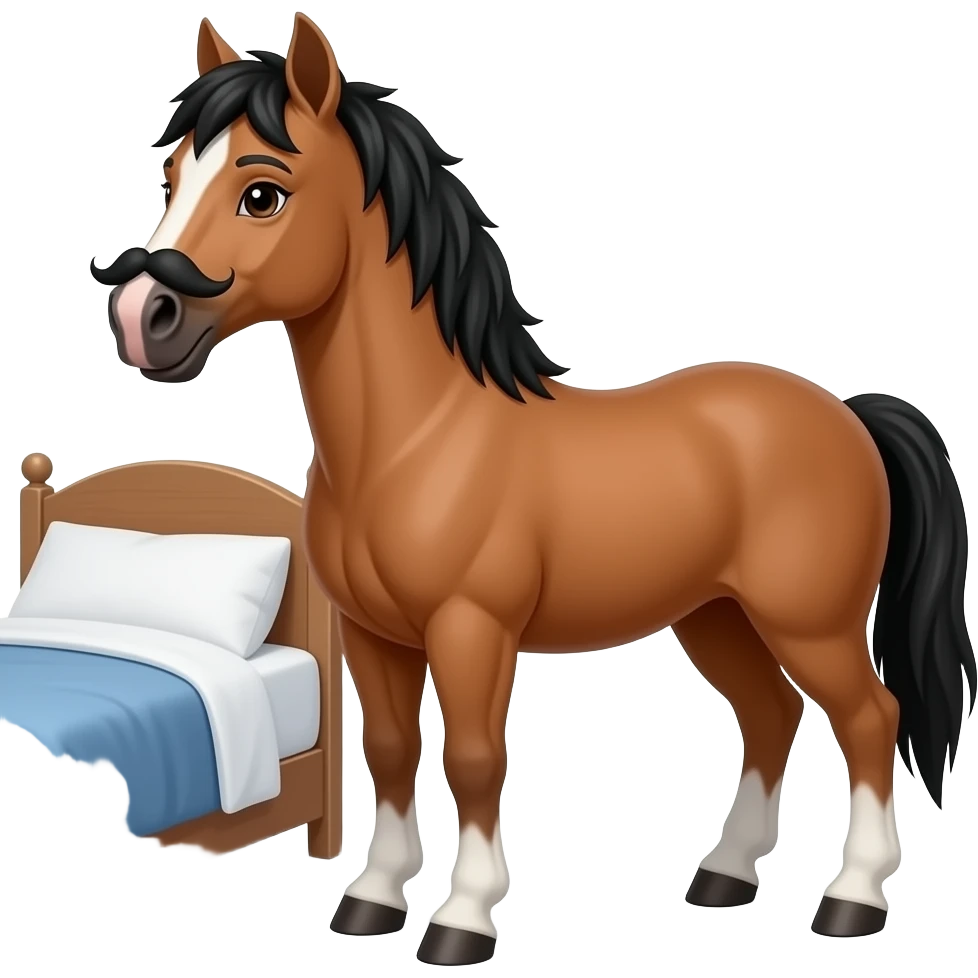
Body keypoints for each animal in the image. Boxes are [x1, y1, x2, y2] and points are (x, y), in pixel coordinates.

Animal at [90, 12, 975, 961]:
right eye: (174, 177)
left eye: (262, 193)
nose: (142, 319)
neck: (419, 441)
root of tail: (846, 412)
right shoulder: (374, 635)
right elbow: (393, 751)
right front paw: (371, 900)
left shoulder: (472, 628)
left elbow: (475, 760)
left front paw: (462, 919)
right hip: (717, 616)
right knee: (771, 716)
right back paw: (726, 877)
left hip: (810, 621)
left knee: (871, 718)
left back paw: (854, 899)